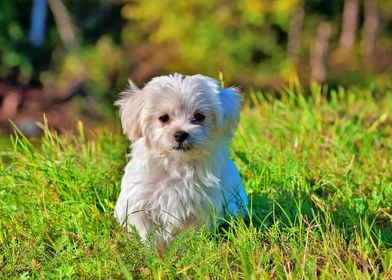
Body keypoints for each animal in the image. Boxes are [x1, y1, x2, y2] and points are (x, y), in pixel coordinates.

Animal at [114, 74, 248, 247]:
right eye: (163, 118)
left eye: (199, 117)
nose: (180, 134)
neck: (177, 164)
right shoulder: (139, 203)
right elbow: (146, 233)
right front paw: (152, 251)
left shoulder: (199, 209)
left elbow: (188, 234)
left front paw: (183, 250)